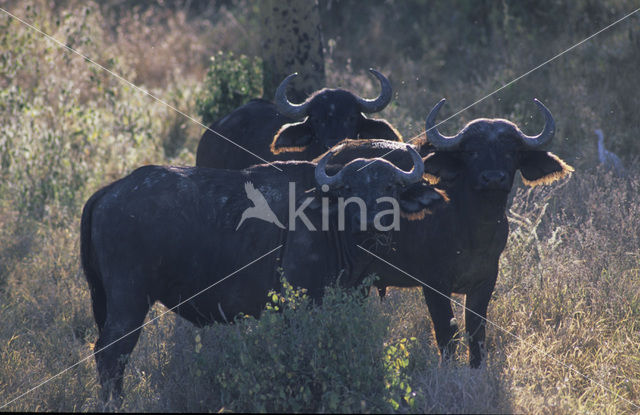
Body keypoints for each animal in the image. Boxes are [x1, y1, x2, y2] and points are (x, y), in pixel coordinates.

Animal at [80, 145, 442, 404]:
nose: (368, 222)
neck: (332, 228)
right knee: (111, 354)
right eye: (349, 188)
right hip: (129, 301)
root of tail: (110, 191)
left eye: (390, 186)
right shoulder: (300, 308)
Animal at [318, 101, 572, 368]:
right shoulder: (433, 283)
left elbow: (476, 329)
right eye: (471, 151)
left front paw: (476, 367)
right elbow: (447, 332)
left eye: (511, 151)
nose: (493, 178)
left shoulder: (486, 279)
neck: (472, 228)